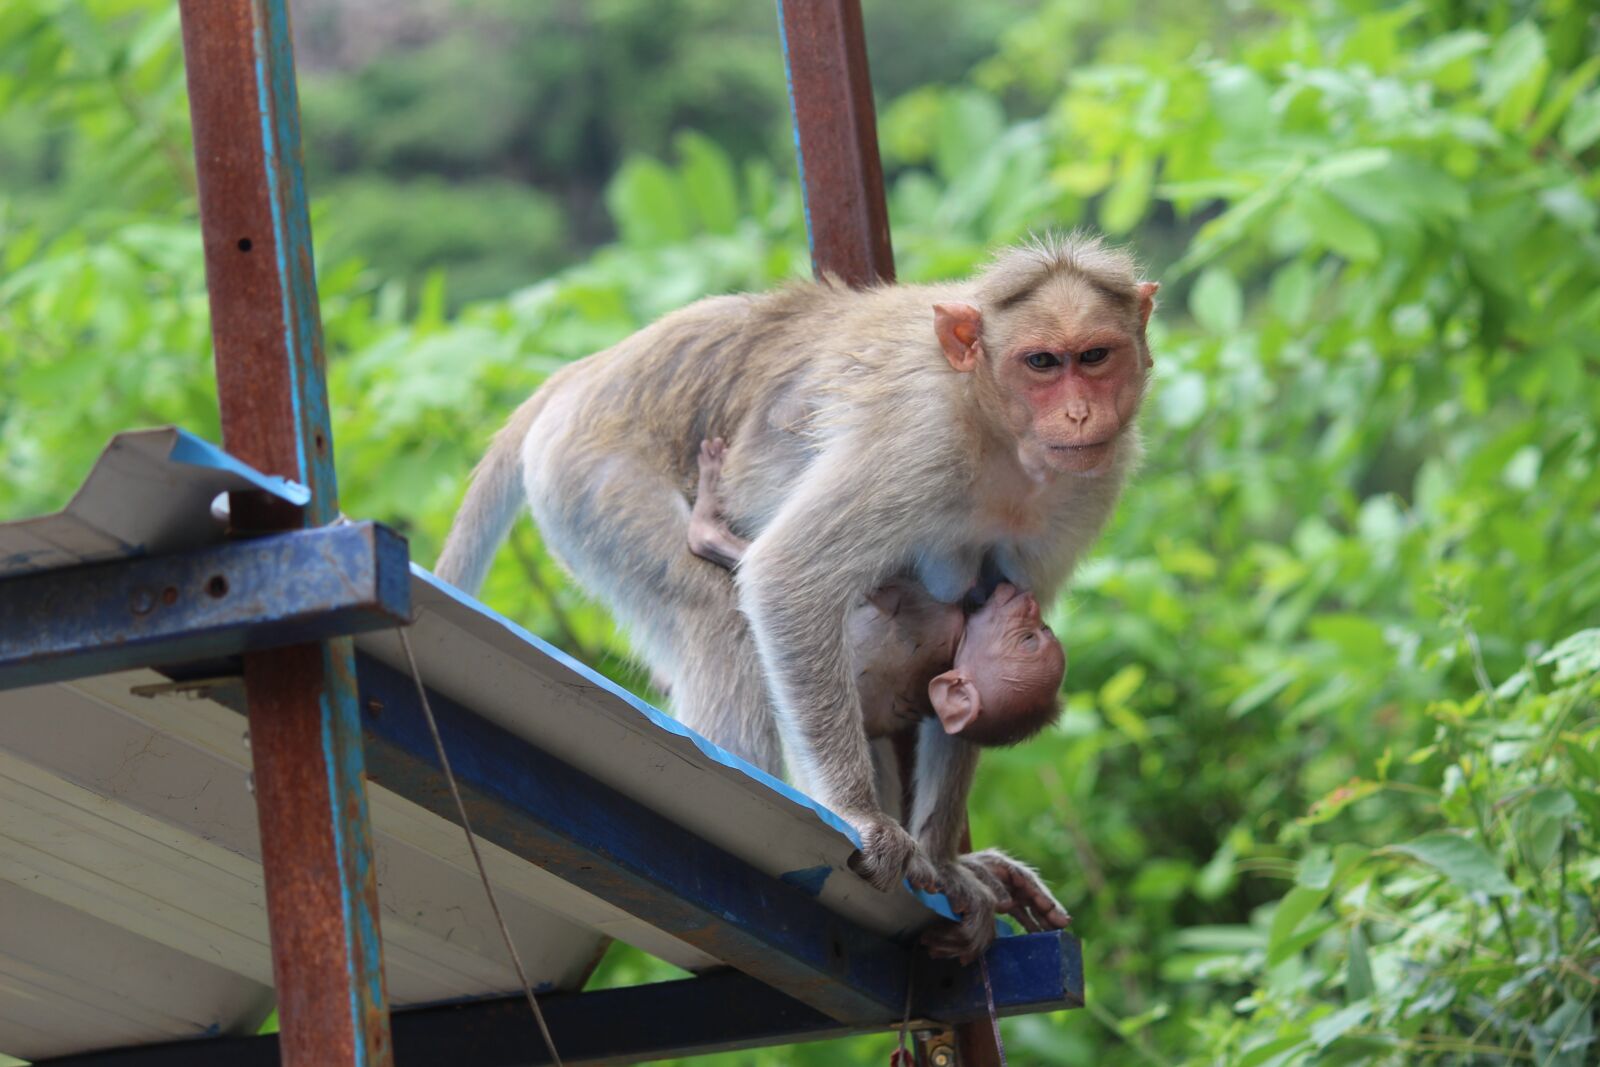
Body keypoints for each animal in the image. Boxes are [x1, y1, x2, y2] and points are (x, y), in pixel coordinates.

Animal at [436, 233, 1157, 959]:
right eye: (1042, 362)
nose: (1079, 412)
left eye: (1095, 357)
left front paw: (947, 863)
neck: (998, 432)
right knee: (722, 617)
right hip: (594, 477)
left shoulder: (1090, 486)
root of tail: (584, 374)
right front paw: (865, 818)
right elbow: (789, 577)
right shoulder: (919, 443)